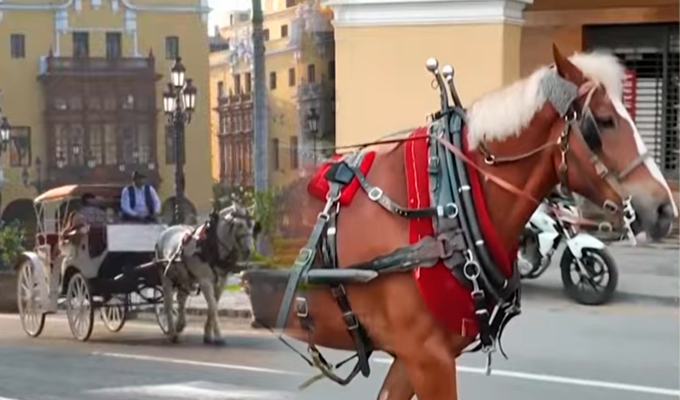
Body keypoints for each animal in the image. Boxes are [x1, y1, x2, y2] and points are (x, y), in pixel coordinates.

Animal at [154, 203, 259, 345]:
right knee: (168, 303)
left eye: (252, 225)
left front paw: (208, 334)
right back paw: (172, 332)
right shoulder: (205, 281)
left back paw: (180, 324)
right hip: (166, 276)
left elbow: (214, 305)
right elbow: (213, 306)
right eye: (239, 224)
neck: (210, 244)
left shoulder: (222, 281)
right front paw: (218, 335)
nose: (249, 251)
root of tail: (165, 232)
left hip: (185, 277)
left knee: (181, 299)